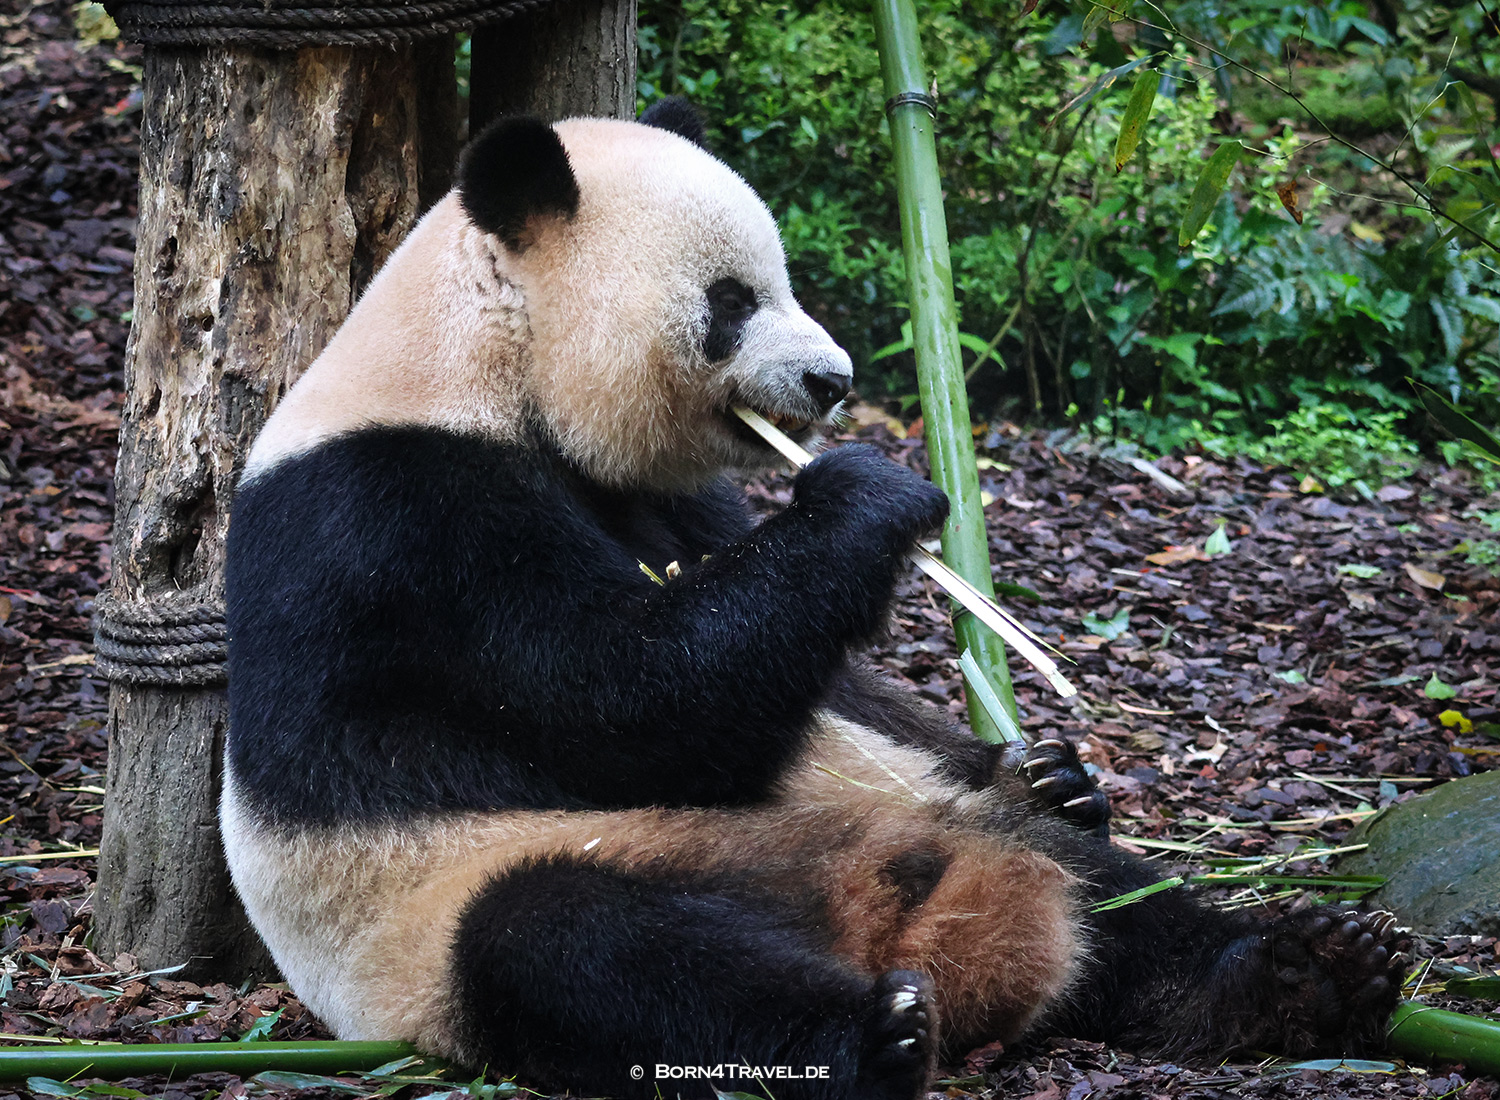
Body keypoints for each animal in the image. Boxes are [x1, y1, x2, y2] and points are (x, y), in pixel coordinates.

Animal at [222, 100, 1407, 1100]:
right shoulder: (406, 520)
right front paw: (870, 493)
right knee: (582, 948)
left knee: (1111, 892)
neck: (477, 358)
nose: (834, 382)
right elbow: (625, 703)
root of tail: (907, 938)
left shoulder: (672, 503)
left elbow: (819, 676)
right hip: (446, 913)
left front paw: (1056, 769)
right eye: (732, 303)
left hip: (932, 822)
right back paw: (870, 1040)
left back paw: (1292, 968)